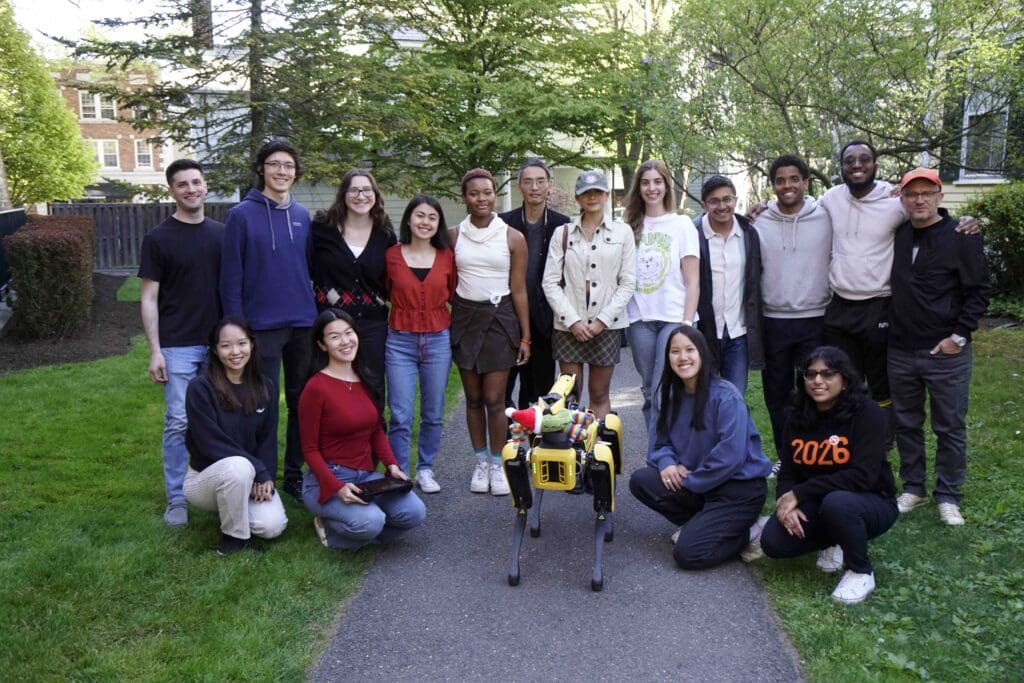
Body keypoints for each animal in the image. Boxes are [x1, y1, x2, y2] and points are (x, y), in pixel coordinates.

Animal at [497, 374, 618, 593]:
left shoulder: (598, 458)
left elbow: (603, 505)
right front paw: (514, 570)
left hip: (607, 428)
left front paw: (597, 574)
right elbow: (523, 505)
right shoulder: (517, 456)